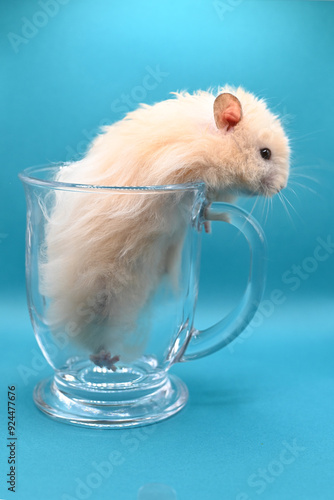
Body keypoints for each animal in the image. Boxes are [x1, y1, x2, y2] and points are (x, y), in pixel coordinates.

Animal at [39, 86, 290, 368]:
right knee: (92, 332)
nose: (282, 187)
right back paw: (106, 361)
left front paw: (206, 227)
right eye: (265, 153)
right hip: (98, 289)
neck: (209, 141)